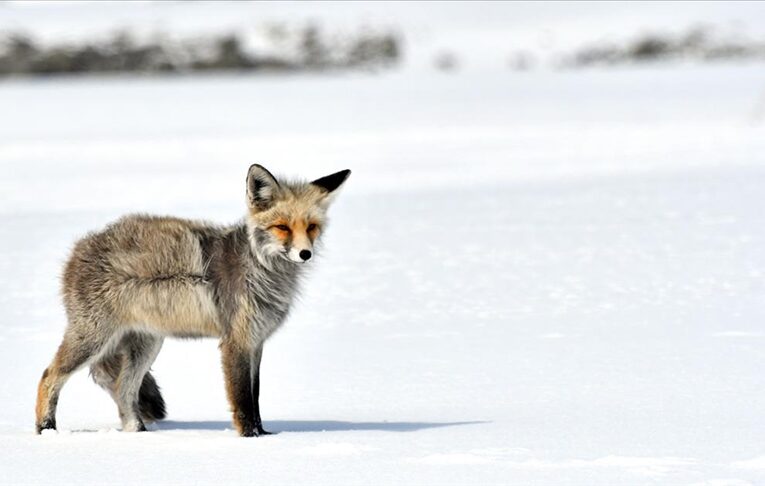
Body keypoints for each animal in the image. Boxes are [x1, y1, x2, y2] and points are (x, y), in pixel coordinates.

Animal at [32, 164, 350, 436]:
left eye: (311, 227)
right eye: (282, 227)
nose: (305, 254)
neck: (261, 269)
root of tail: (78, 248)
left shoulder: (256, 342)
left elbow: (256, 396)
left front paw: (265, 434)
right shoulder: (236, 341)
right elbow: (243, 401)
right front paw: (251, 438)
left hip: (146, 344)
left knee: (123, 389)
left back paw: (138, 433)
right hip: (93, 338)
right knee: (49, 375)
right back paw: (46, 429)